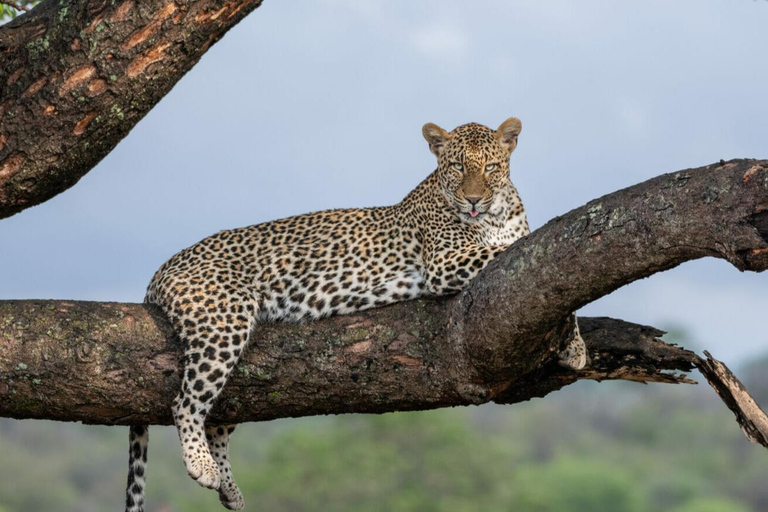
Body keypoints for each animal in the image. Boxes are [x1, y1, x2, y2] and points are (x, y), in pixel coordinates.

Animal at [124, 117, 588, 512]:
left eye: (491, 167)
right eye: (457, 167)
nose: (474, 200)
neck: (496, 214)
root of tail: (163, 267)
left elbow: (549, 278)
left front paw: (575, 347)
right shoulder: (444, 262)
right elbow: (508, 250)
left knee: (218, 420)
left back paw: (229, 489)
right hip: (224, 320)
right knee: (186, 402)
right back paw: (201, 465)